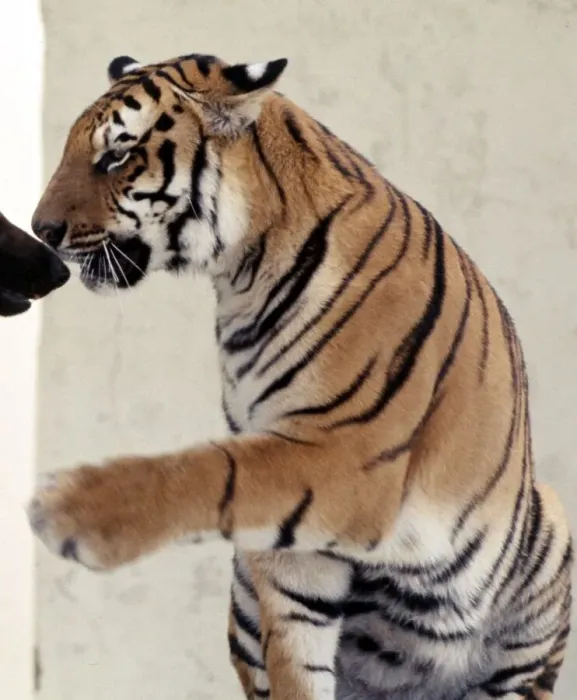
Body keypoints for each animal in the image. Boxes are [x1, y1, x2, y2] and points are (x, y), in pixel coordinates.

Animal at [27, 52, 572, 700]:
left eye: (117, 155)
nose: (40, 230)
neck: (240, 275)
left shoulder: (349, 456)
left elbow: (209, 471)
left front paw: (65, 508)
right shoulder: (288, 546)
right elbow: (296, 649)